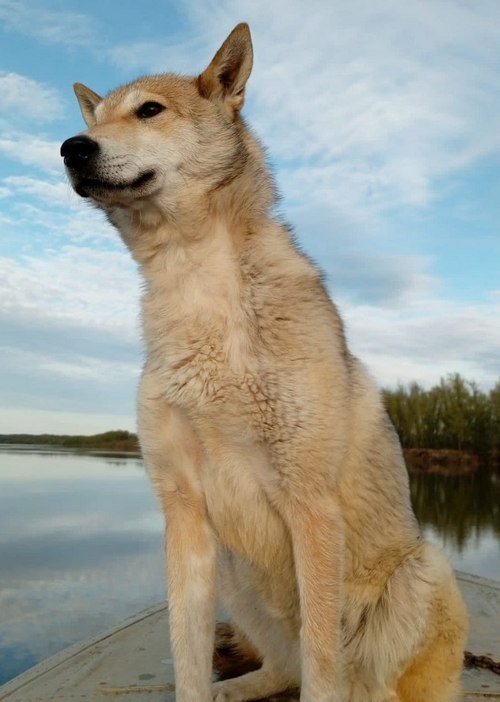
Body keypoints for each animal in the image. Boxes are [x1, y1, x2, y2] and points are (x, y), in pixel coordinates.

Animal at [61, 22, 468, 702]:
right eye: (96, 119)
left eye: (150, 110)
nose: (71, 148)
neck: (195, 284)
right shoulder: (184, 513)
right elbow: (188, 660)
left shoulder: (311, 507)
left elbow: (323, 674)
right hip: (235, 572)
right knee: (281, 666)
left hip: (422, 571)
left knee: (358, 682)